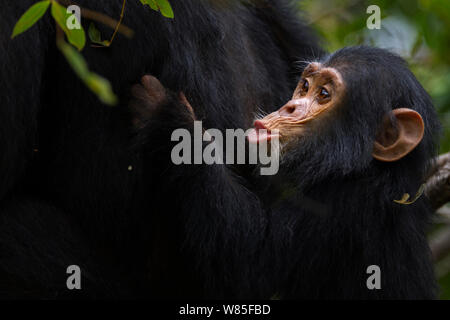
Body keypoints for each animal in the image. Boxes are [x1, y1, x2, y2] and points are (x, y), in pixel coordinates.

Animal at [133, 46, 440, 298]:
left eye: (324, 94)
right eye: (305, 86)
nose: (289, 107)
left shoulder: (343, 206)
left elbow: (245, 264)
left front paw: (170, 114)